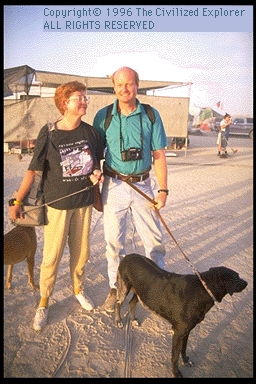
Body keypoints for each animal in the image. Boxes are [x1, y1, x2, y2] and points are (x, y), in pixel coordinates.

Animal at [115, 254, 247, 376]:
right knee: (118, 303)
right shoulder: (178, 332)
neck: (204, 289)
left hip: (140, 293)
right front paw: (176, 373)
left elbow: (183, 348)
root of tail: (128, 256)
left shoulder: (186, 331)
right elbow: (175, 357)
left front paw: (186, 361)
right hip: (124, 288)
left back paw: (133, 320)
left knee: (131, 303)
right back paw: (118, 320)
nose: (247, 283)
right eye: (237, 276)